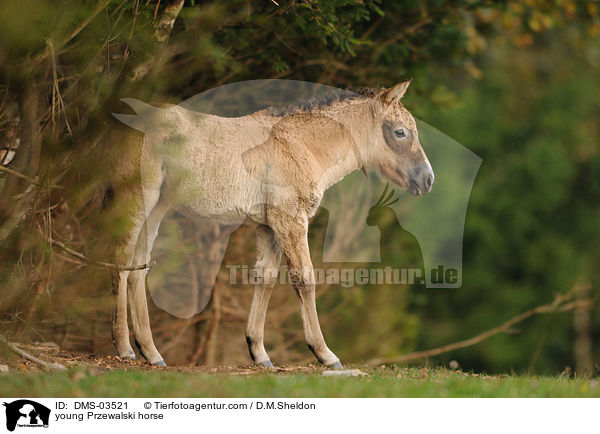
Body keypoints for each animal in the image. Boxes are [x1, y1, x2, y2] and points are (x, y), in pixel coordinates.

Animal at [110, 79, 434, 368]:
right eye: (400, 132)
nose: (427, 179)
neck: (299, 144)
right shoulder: (290, 220)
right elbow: (305, 279)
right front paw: (326, 355)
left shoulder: (269, 225)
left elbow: (264, 278)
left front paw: (260, 354)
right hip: (138, 199)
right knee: (122, 261)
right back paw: (125, 349)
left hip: (158, 208)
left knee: (139, 265)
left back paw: (152, 353)